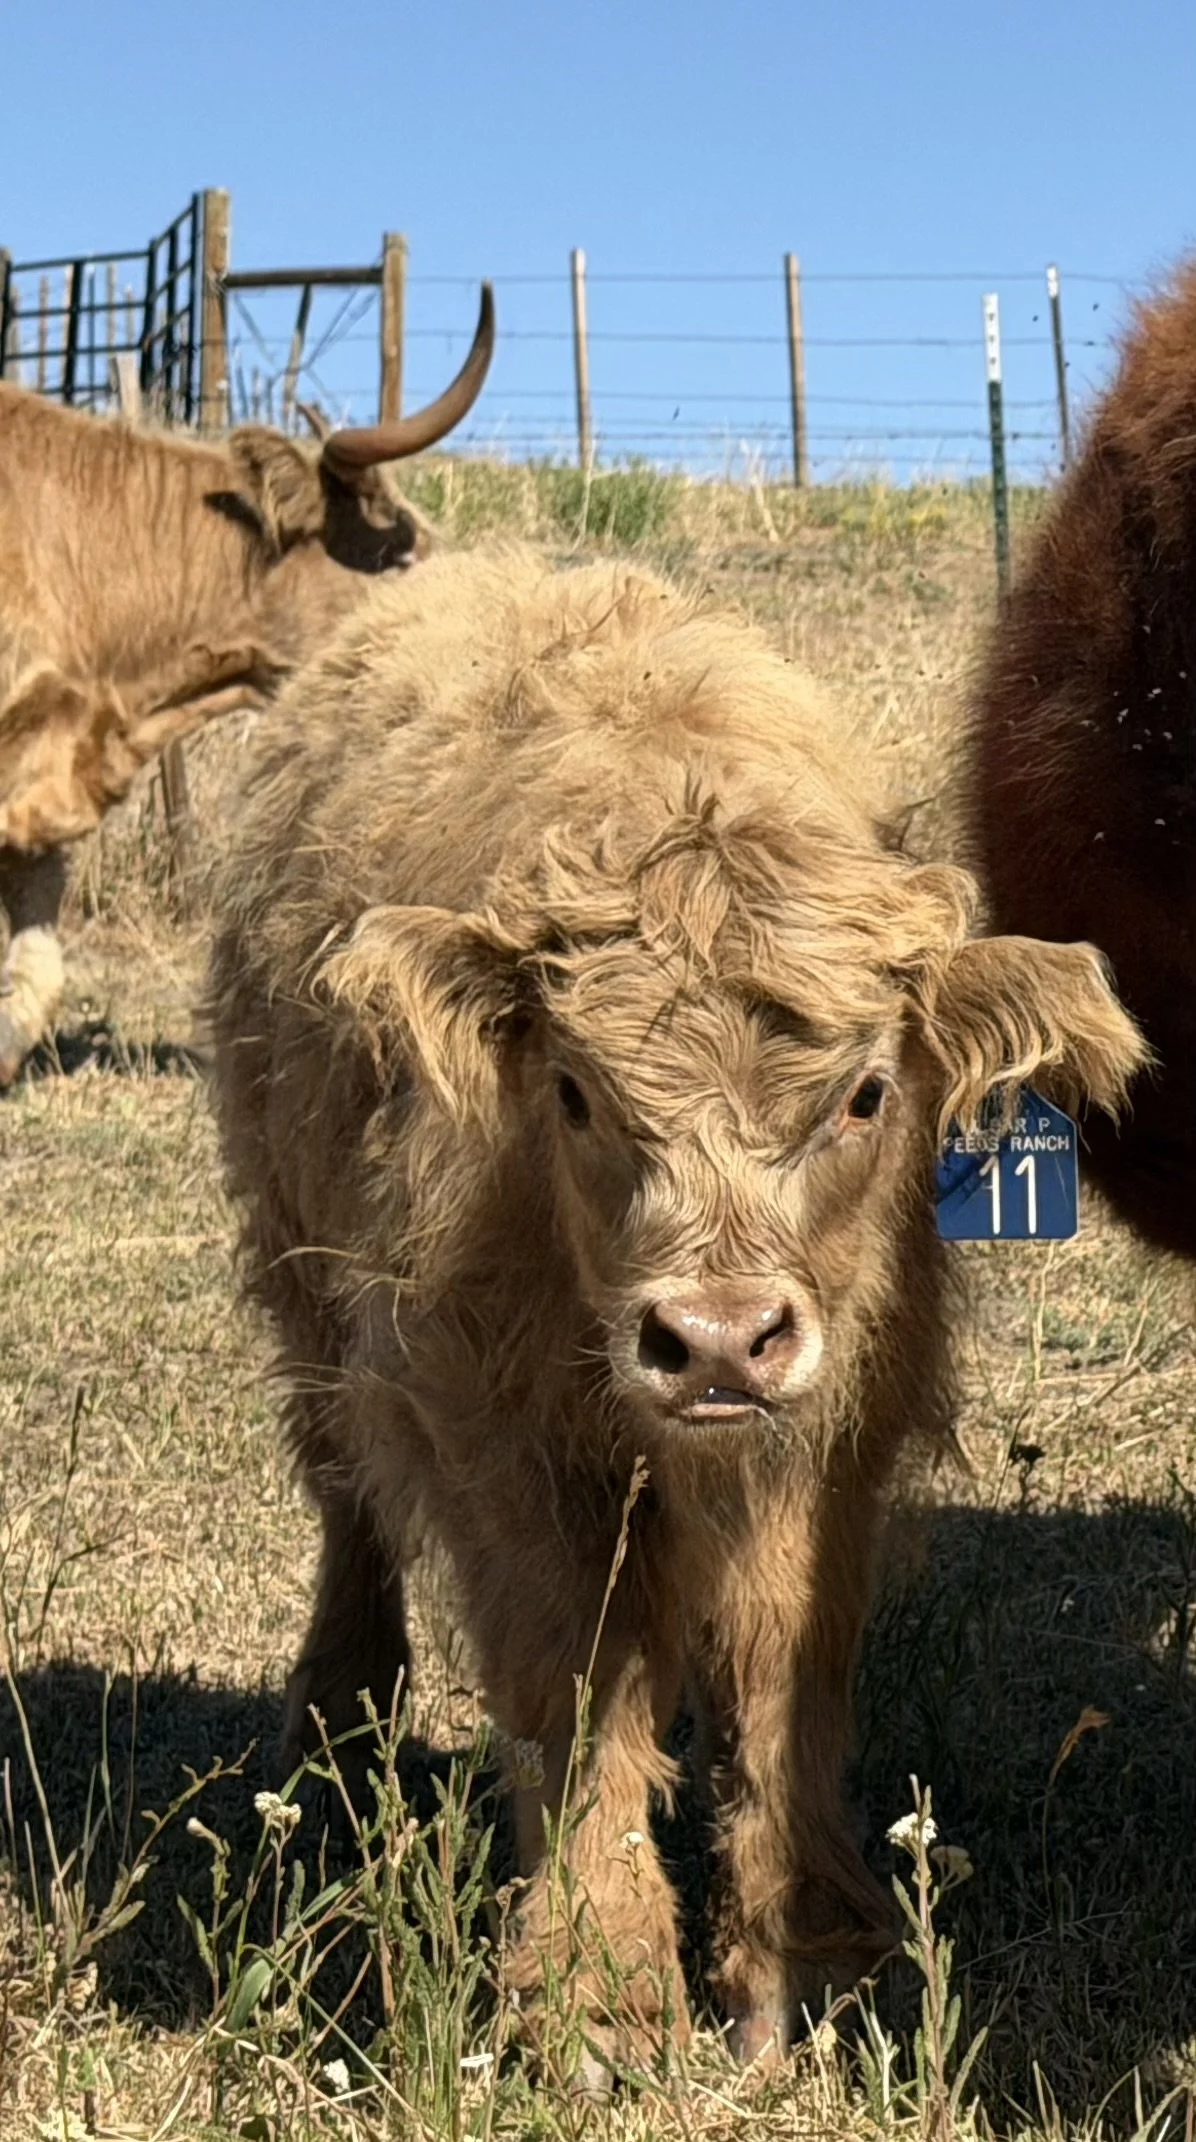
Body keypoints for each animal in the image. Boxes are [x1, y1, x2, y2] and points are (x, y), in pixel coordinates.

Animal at [208, 547, 1142, 2073]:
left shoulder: (840, 1420)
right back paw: (337, 1739)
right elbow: (580, 1666)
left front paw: (796, 1956)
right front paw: (596, 1988)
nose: (713, 1339)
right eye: (576, 1094)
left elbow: (780, 1662)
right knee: (345, 1491)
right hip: (296, 1262)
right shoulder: (490, 1411)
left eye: (864, 1094)